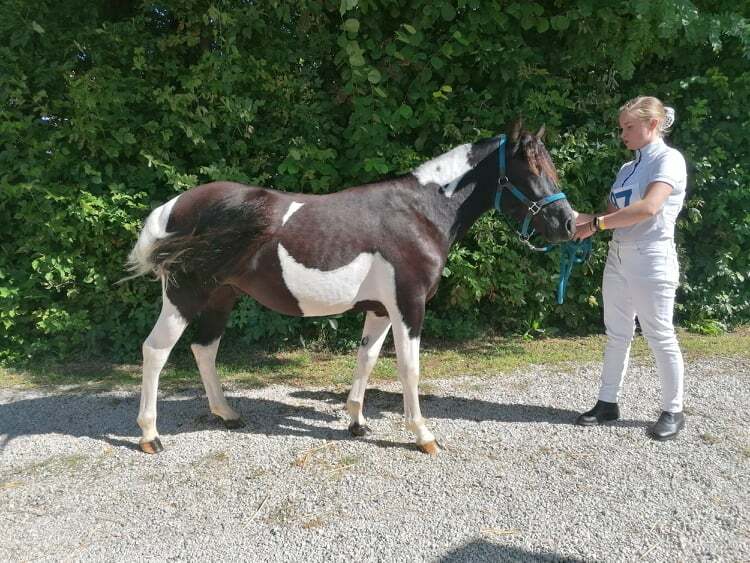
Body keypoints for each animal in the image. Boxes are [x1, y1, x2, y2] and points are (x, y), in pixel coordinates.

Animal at [126, 121, 580, 456]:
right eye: (531, 169)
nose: (568, 223)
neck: (420, 213)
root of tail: (172, 207)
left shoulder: (380, 309)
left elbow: (367, 359)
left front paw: (357, 422)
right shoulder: (409, 306)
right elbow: (409, 369)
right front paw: (423, 436)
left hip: (222, 296)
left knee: (204, 349)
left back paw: (226, 413)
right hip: (185, 297)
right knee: (156, 351)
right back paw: (150, 436)